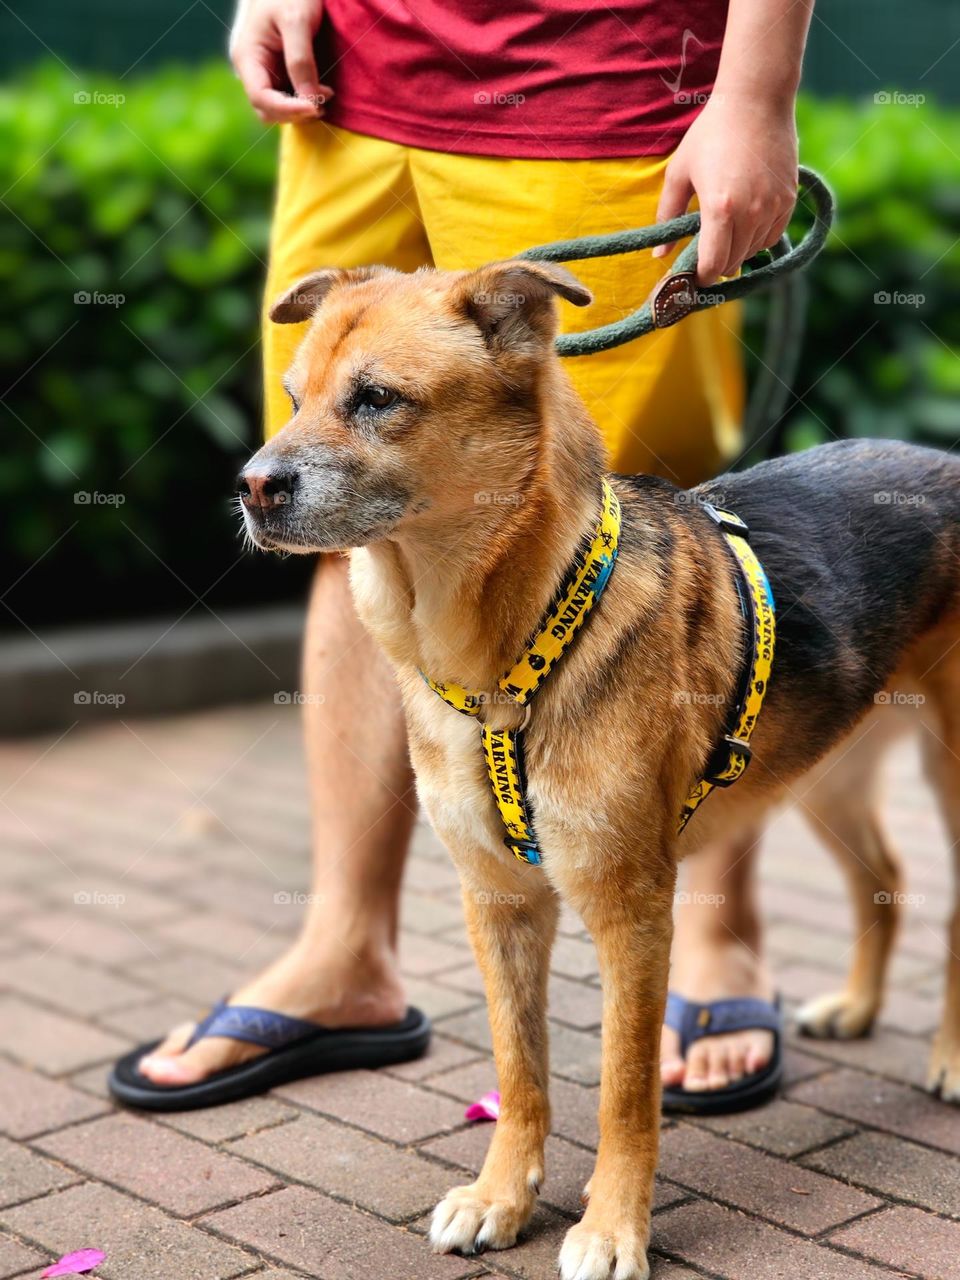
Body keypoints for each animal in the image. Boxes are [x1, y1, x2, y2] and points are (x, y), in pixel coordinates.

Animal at [239, 259, 960, 1280]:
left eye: (377, 399)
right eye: (295, 397)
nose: (251, 489)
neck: (509, 657)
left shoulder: (632, 910)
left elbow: (625, 1088)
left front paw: (613, 1228)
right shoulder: (497, 901)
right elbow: (519, 1067)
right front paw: (502, 1199)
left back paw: (951, 1057)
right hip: (827, 772)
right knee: (883, 881)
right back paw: (856, 1008)